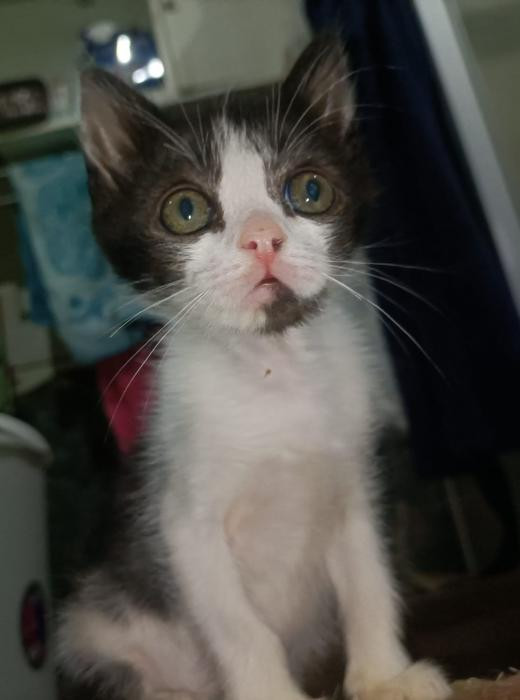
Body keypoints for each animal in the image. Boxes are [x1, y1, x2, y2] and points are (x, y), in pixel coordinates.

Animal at [56, 37, 451, 700]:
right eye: (186, 208)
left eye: (309, 191)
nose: (263, 238)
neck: (274, 373)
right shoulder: (182, 520)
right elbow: (240, 627)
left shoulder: (353, 485)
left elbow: (369, 581)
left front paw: (383, 677)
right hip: (93, 634)